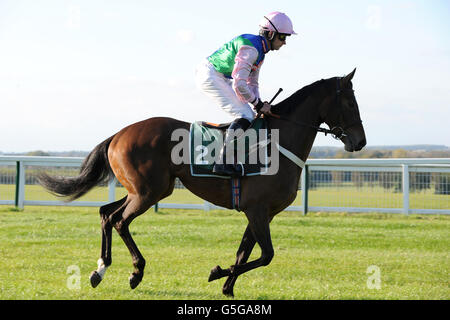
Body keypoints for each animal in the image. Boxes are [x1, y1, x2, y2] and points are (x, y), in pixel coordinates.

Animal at [38, 69, 366, 296]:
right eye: (351, 102)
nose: (360, 141)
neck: (278, 141)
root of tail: (118, 134)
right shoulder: (257, 210)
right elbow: (266, 255)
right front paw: (217, 272)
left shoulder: (261, 212)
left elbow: (246, 252)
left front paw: (227, 287)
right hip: (147, 193)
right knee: (120, 221)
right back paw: (135, 272)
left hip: (148, 189)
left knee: (106, 214)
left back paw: (100, 269)